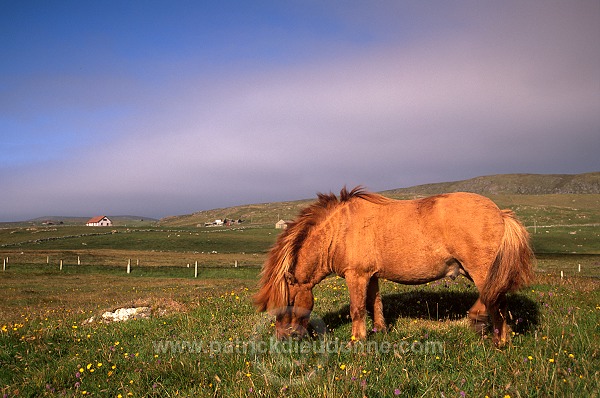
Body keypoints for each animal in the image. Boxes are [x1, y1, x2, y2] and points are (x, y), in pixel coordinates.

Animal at [254, 187, 536, 346]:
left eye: (289, 301)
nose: (283, 339)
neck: (340, 230)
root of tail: (501, 213)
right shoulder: (371, 276)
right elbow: (375, 303)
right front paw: (380, 330)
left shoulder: (356, 276)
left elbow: (357, 309)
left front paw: (357, 341)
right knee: (494, 298)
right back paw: (483, 324)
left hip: (481, 270)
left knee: (496, 301)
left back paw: (498, 339)